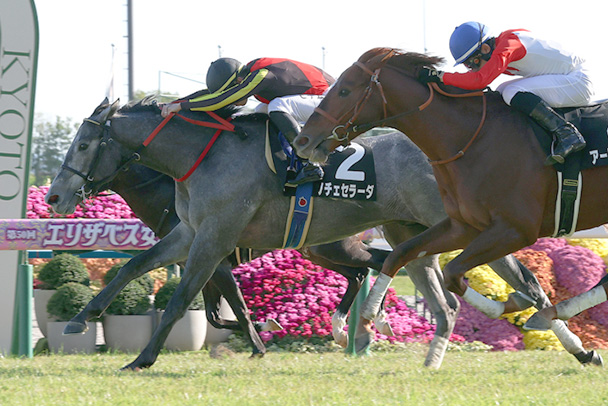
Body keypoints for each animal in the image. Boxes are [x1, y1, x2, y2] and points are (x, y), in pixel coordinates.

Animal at [45, 97, 597, 370]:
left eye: (85, 143)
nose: (54, 197)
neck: (199, 156)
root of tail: (452, 156)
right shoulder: (192, 233)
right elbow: (138, 266)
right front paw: (80, 319)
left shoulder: (215, 237)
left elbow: (186, 299)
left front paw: (143, 358)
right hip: (411, 233)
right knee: (435, 291)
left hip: (466, 227)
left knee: (520, 280)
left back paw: (564, 336)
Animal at [294, 47, 608, 356]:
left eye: (345, 90)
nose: (303, 140)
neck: (472, 138)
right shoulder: (465, 226)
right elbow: (404, 255)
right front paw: (373, 315)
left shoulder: (516, 229)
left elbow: (452, 271)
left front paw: (510, 305)